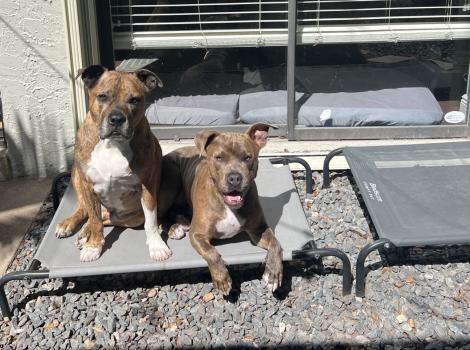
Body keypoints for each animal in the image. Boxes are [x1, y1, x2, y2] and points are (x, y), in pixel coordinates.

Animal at [55, 65, 173, 262]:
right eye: (102, 96)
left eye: (134, 100)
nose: (117, 119)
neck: (113, 144)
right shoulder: (87, 184)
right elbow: (94, 220)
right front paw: (93, 246)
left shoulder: (147, 187)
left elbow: (151, 221)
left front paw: (157, 246)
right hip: (76, 177)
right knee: (86, 211)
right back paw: (72, 226)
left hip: (131, 216)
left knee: (108, 219)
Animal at [160, 124, 280, 294]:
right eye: (219, 158)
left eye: (247, 157)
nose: (234, 177)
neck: (227, 205)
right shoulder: (197, 234)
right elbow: (212, 253)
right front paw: (222, 279)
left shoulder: (258, 230)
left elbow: (276, 244)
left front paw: (273, 274)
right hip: (170, 179)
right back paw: (173, 228)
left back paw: (182, 220)